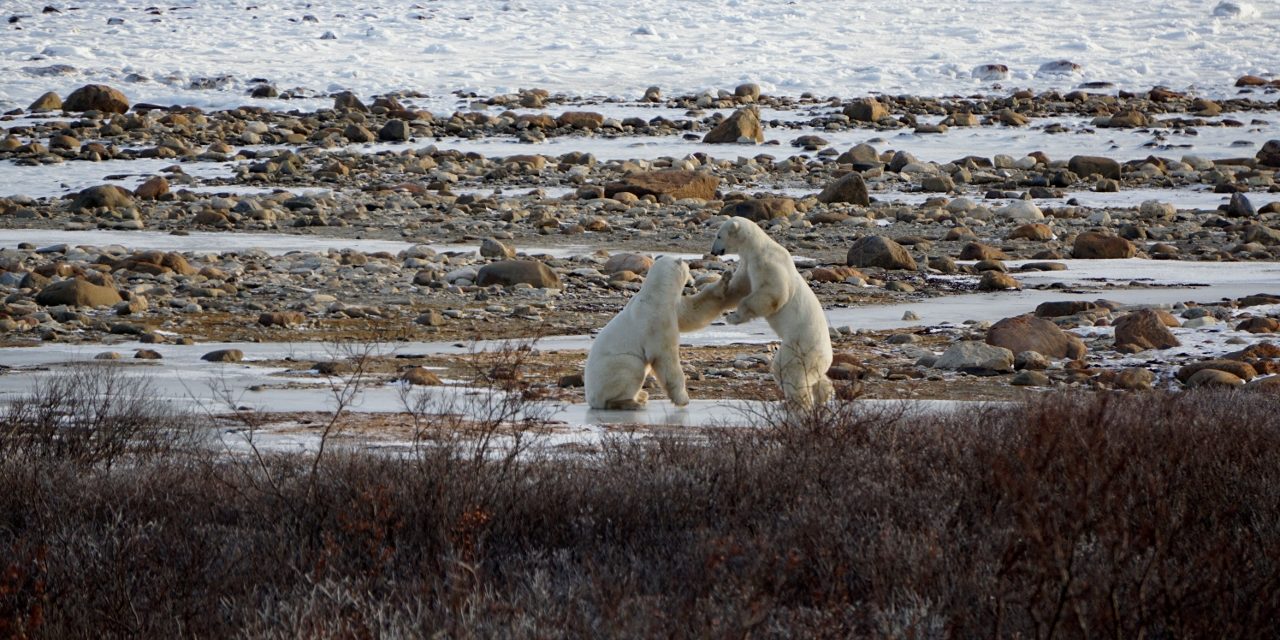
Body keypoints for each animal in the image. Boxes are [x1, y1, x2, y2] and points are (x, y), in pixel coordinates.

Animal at [584, 256, 693, 410]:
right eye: (688, 268)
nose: (692, 282)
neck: (657, 294)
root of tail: (592, 399)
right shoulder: (658, 321)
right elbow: (664, 356)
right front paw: (683, 399)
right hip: (610, 371)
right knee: (632, 367)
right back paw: (632, 402)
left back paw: (641, 395)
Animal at [710, 216, 834, 407]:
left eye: (719, 236)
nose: (713, 251)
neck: (757, 247)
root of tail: (828, 356)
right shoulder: (747, 265)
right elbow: (739, 288)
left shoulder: (767, 264)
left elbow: (774, 293)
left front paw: (733, 317)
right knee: (816, 378)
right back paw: (824, 394)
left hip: (799, 346)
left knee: (788, 369)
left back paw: (799, 404)